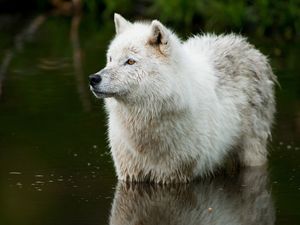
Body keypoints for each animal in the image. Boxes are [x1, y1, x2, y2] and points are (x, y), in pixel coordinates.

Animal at [89, 13, 276, 183]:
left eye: (130, 62)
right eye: (110, 59)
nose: (93, 79)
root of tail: (245, 44)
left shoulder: (175, 176)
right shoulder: (129, 175)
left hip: (252, 154)